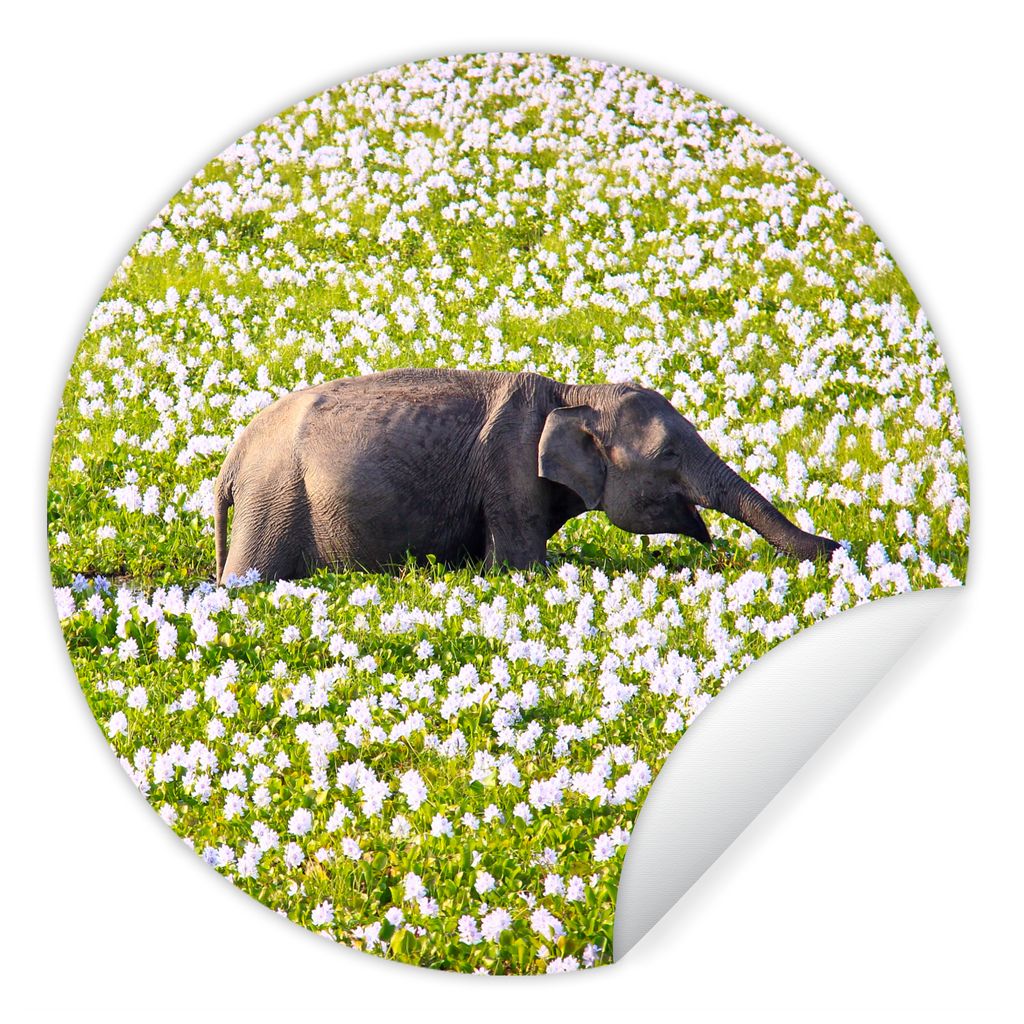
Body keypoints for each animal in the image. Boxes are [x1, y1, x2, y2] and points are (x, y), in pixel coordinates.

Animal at [214, 368, 840, 584]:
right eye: (667, 455)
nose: (838, 547)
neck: (574, 393)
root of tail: (231, 461)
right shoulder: (508, 468)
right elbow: (518, 567)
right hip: (276, 501)